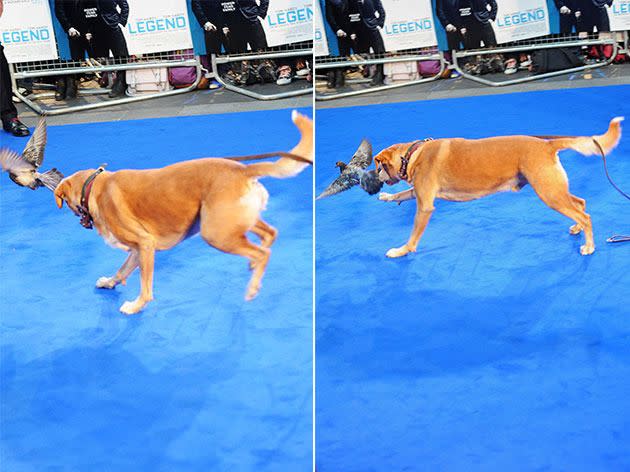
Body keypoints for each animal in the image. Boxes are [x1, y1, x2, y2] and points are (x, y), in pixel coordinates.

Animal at [53, 111, 314, 314]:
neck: (95, 187)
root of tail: (242, 170)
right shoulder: (138, 250)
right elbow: (122, 270)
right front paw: (109, 282)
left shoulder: (144, 244)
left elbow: (145, 287)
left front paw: (136, 306)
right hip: (234, 223)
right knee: (269, 234)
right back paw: (253, 267)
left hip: (216, 233)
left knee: (262, 252)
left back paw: (252, 287)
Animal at [378, 117, 624, 258]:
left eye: (378, 165)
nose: (375, 176)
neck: (413, 154)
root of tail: (546, 144)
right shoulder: (420, 193)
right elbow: (402, 194)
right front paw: (387, 196)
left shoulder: (425, 206)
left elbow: (413, 237)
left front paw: (401, 251)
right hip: (555, 190)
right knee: (580, 204)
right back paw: (576, 228)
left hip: (549, 193)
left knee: (585, 215)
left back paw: (589, 246)